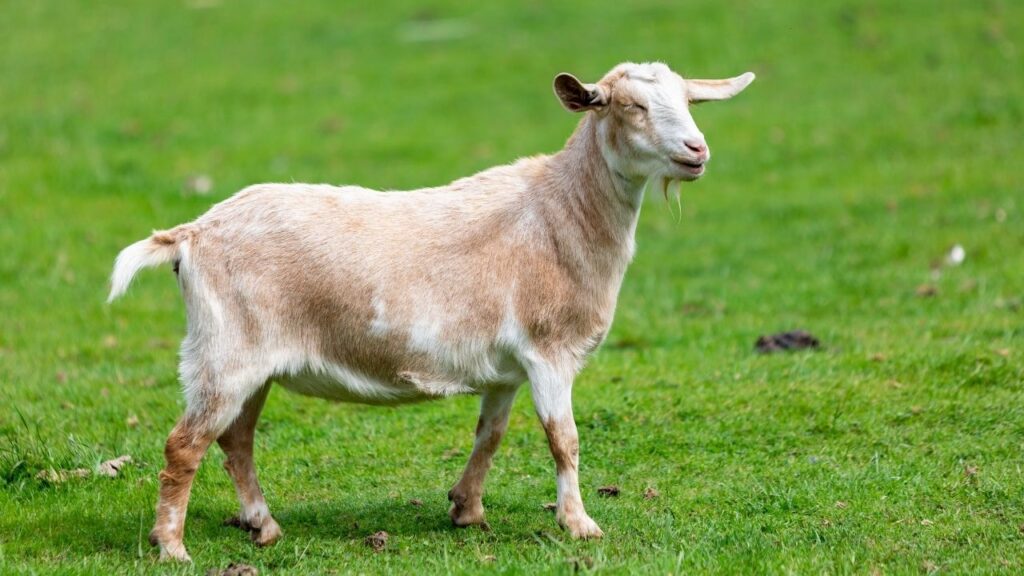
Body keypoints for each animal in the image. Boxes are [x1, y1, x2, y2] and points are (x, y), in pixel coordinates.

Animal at [108, 62, 754, 561]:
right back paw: (172, 546)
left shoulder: (507, 367)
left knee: (236, 441)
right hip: (225, 353)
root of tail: (192, 234)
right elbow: (562, 439)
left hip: (249, 361)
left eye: (688, 100)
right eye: (629, 106)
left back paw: (262, 526)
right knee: (185, 445)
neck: (561, 215)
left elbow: (490, 435)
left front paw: (467, 509)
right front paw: (579, 524)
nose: (697, 151)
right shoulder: (549, 350)